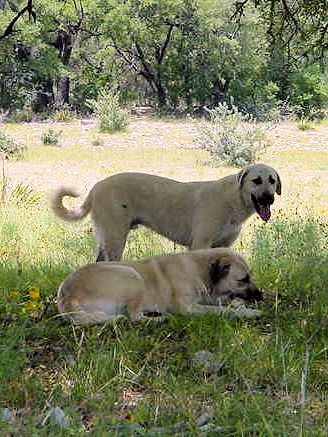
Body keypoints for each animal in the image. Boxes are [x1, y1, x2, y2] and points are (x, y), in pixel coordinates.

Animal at [51, 163, 282, 258]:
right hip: (115, 238)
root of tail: (97, 186)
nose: (269, 198)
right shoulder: (199, 245)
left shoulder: (223, 246)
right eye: (256, 180)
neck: (233, 199)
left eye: (272, 180)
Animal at [56, 247, 262, 322]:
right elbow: (221, 311)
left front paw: (238, 304)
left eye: (250, 276)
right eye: (243, 280)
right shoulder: (187, 308)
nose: (262, 296)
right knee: (134, 317)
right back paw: (159, 318)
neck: (199, 270)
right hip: (132, 275)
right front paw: (248, 312)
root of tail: (67, 294)